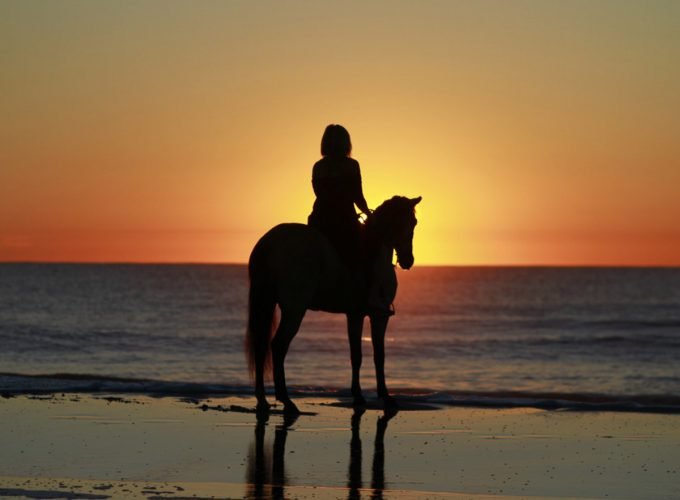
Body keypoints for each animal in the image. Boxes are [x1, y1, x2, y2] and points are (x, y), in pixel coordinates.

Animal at [244, 195, 420, 414]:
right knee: (278, 346)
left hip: (266, 303)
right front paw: (386, 397)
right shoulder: (378, 316)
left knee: (261, 346)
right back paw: (286, 400)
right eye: (403, 223)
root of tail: (269, 243)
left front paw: (358, 396)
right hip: (294, 310)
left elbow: (356, 355)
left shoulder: (355, 314)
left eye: (413, 222)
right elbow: (379, 356)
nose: (407, 260)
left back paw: (262, 400)